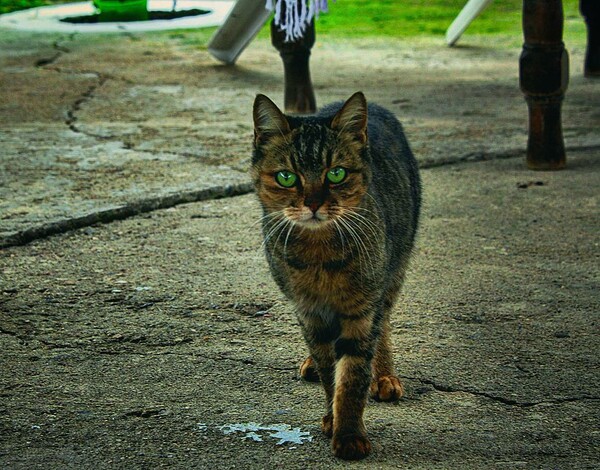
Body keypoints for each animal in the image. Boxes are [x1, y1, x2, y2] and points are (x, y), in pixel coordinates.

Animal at [251, 91, 420, 458]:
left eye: (337, 173)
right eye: (287, 177)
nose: (313, 204)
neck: (320, 255)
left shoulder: (362, 308)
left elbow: (353, 375)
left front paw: (349, 432)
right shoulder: (309, 310)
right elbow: (330, 368)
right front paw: (332, 416)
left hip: (393, 271)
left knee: (383, 324)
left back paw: (384, 376)